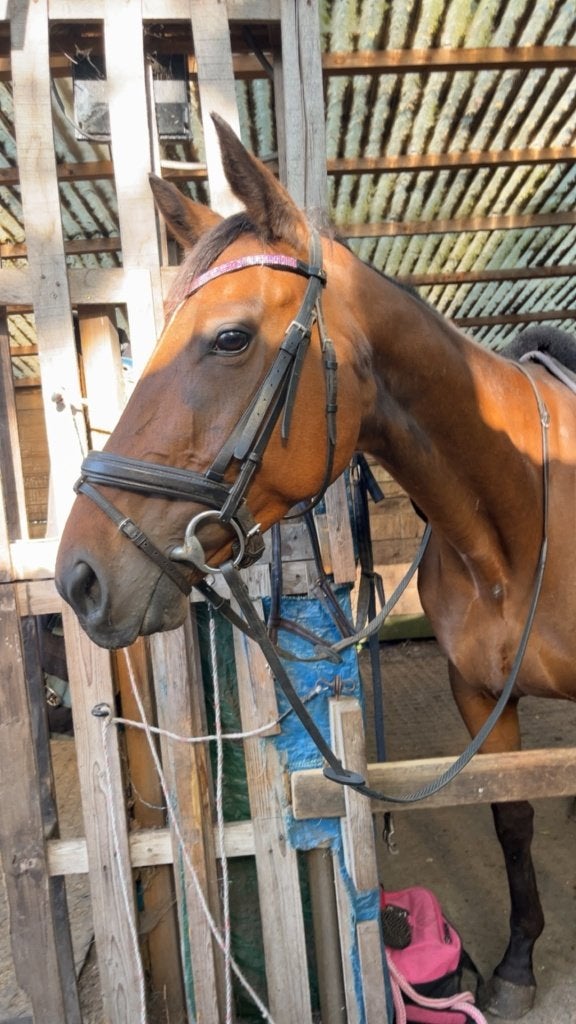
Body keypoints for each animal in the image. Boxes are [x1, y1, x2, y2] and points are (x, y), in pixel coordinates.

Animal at [55, 114, 576, 1019]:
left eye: (230, 337)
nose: (80, 577)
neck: (516, 525)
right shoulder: (481, 697)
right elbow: (511, 812)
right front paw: (516, 963)